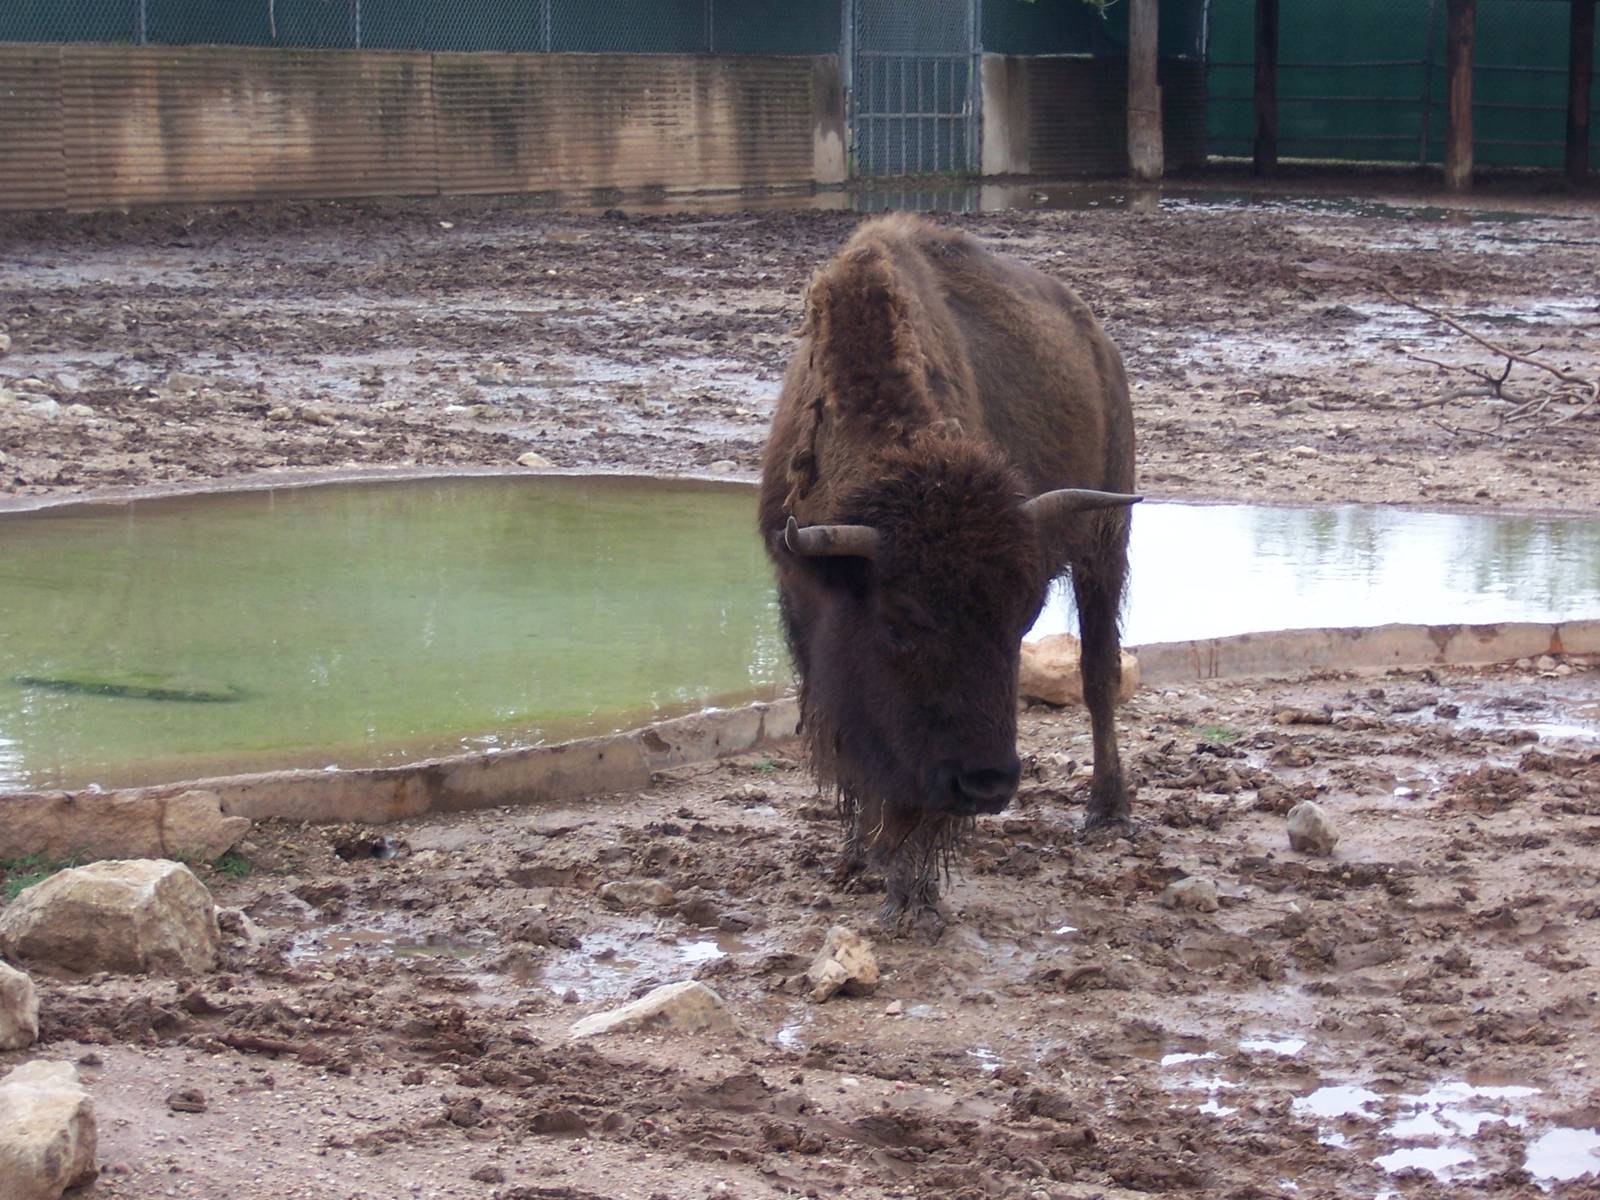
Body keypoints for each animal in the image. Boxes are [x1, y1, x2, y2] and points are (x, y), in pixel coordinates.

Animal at [758, 214, 1138, 923]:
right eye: (898, 622)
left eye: (1024, 620)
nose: (987, 782)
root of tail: (1097, 340)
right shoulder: (805, 611)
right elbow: (852, 734)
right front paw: (862, 853)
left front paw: (912, 893)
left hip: (1107, 541)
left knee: (1099, 671)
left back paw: (1109, 811)